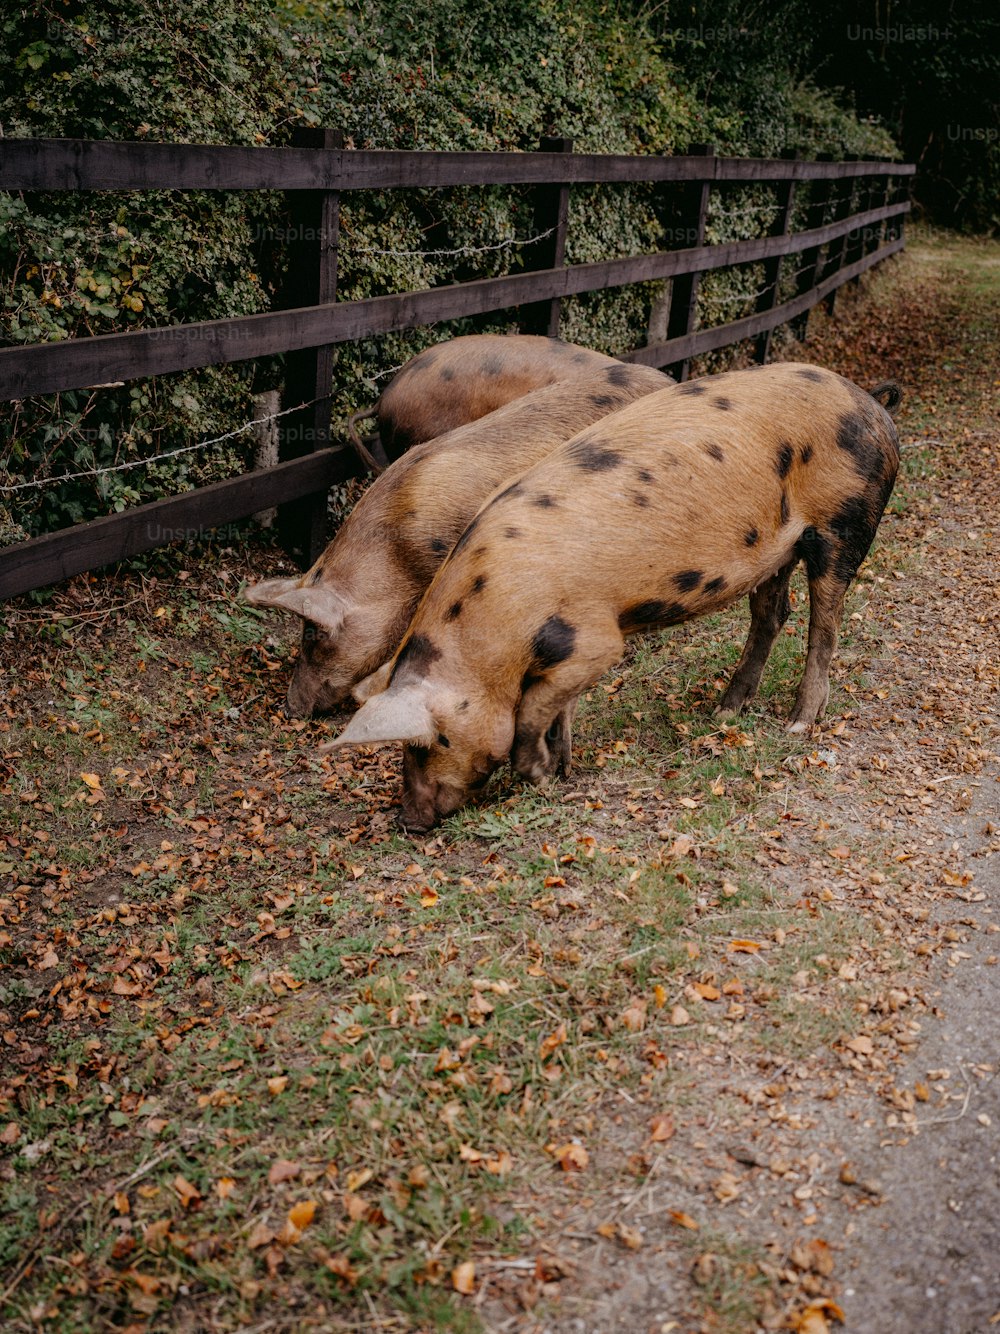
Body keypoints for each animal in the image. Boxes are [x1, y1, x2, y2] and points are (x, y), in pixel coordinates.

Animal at [330, 360, 906, 827]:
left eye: (426, 744)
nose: (407, 821)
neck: (487, 635)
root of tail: (869, 399)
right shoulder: (563, 658)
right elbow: (557, 708)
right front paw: (564, 768)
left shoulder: (595, 641)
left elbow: (531, 711)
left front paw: (540, 778)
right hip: (776, 552)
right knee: (772, 614)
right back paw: (724, 713)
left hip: (846, 520)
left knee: (823, 624)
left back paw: (797, 725)